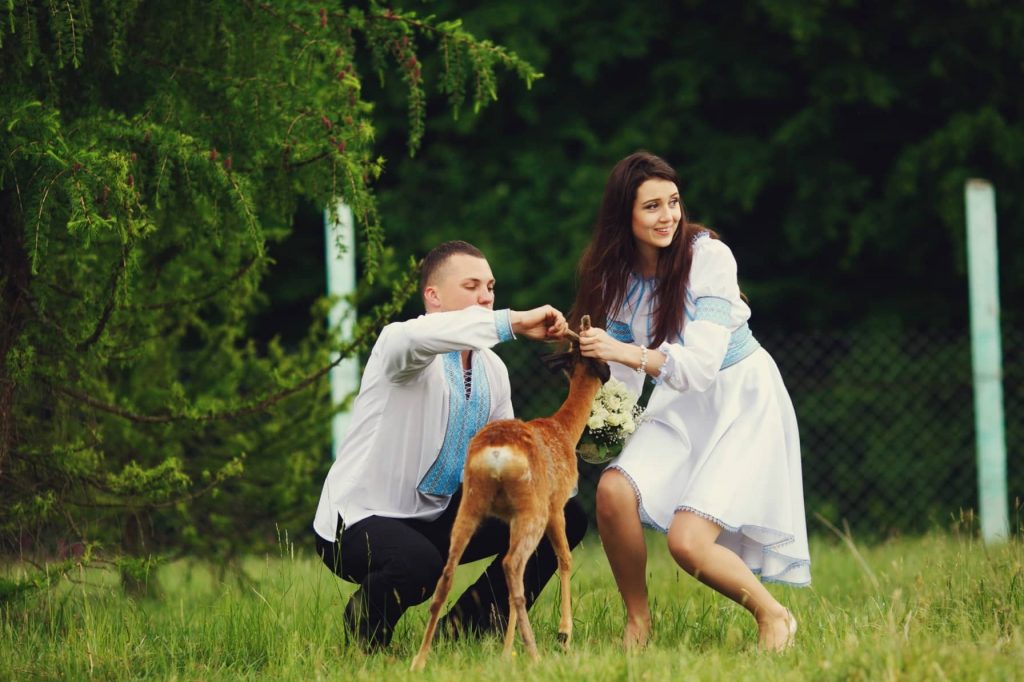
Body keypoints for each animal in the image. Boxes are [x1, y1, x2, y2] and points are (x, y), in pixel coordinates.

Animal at [411, 315, 610, 667]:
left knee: (449, 575)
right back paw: (534, 653)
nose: (611, 370)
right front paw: (565, 634)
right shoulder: (557, 503)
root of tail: (496, 456)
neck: (563, 430)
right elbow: (566, 559)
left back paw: (420, 661)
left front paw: (506, 651)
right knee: (512, 566)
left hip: (472, 504)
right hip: (533, 508)